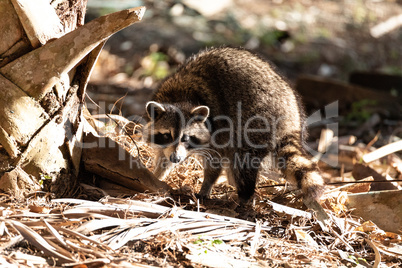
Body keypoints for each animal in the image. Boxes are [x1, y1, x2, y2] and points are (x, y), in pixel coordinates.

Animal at [143, 46, 326, 203]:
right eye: (167, 135)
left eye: (186, 138)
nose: (176, 158)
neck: (179, 98)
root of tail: (291, 117)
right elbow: (163, 156)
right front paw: (156, 175)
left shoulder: (218, 130)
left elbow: (215, 163)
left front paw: (206, 185)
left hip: (256, 123)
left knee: (242, 160)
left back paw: (244, 197)